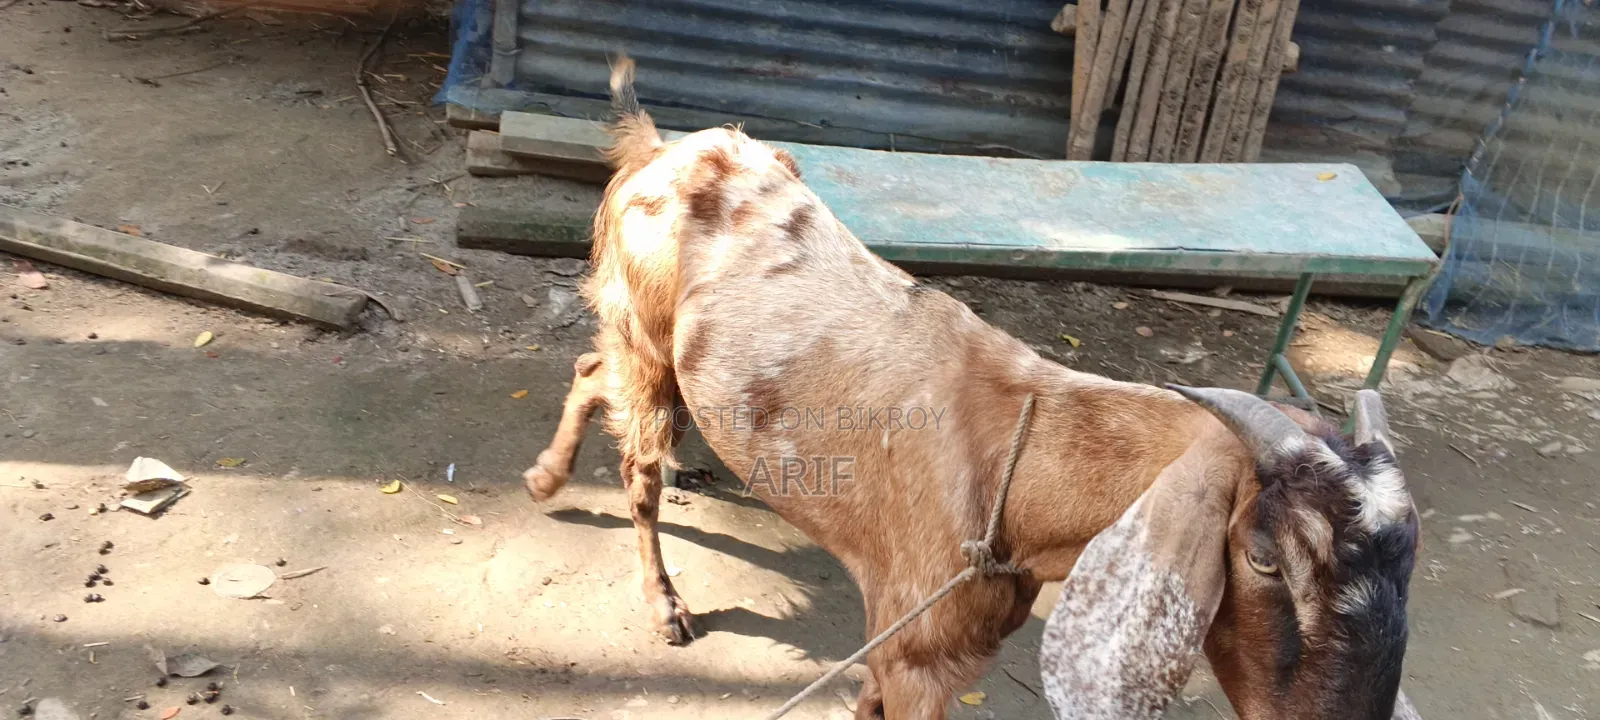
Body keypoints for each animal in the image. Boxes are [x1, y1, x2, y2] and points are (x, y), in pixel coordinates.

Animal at [521, 56, 1420, 719]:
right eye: (1263, 558)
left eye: (1409, 565)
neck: (1020, 475)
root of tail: (657, 148)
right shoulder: (917, 648)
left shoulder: (907, 647)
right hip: (646, 338)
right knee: (632, 452)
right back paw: (662, 600)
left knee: (593, 376)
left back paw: (551, 477)